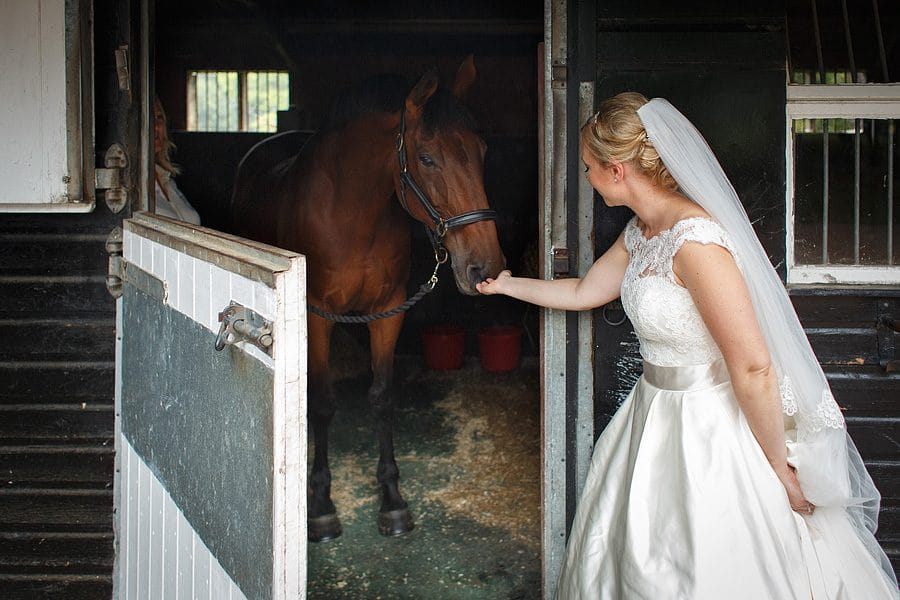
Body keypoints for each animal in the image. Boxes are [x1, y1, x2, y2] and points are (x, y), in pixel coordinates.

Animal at [230, 57, 506, 544]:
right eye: (427, 158)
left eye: (481, 151)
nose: (484, 268)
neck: (353, 213)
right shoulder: (316, 316)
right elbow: (321, 404)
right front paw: (321, 507)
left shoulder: (386, 313)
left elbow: (381, 397)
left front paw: (392, 500)